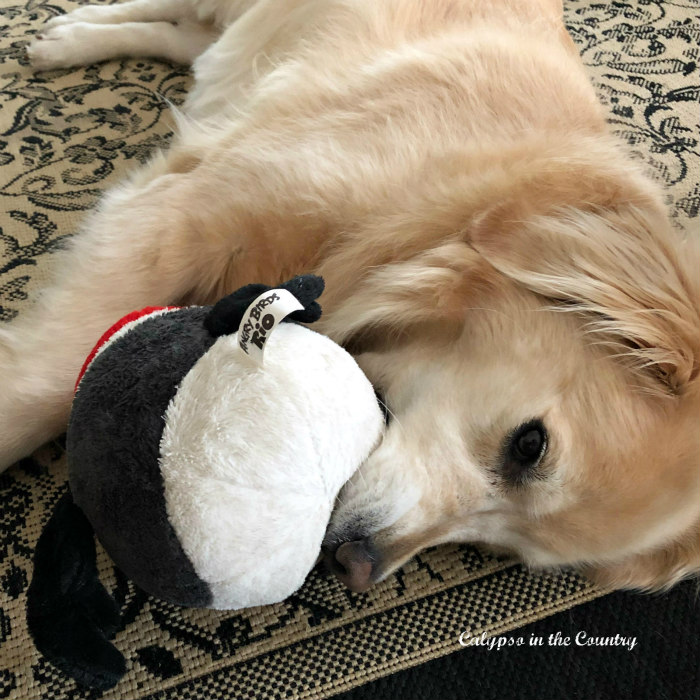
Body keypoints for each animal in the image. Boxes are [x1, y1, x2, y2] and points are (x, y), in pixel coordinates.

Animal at [2, 0, 696, 592]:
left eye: (496, 548)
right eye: (530, 445)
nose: (354, 565)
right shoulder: (187, 212)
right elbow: (42, 388)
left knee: (196, 42)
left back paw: (69, 38)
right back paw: (70, 34)